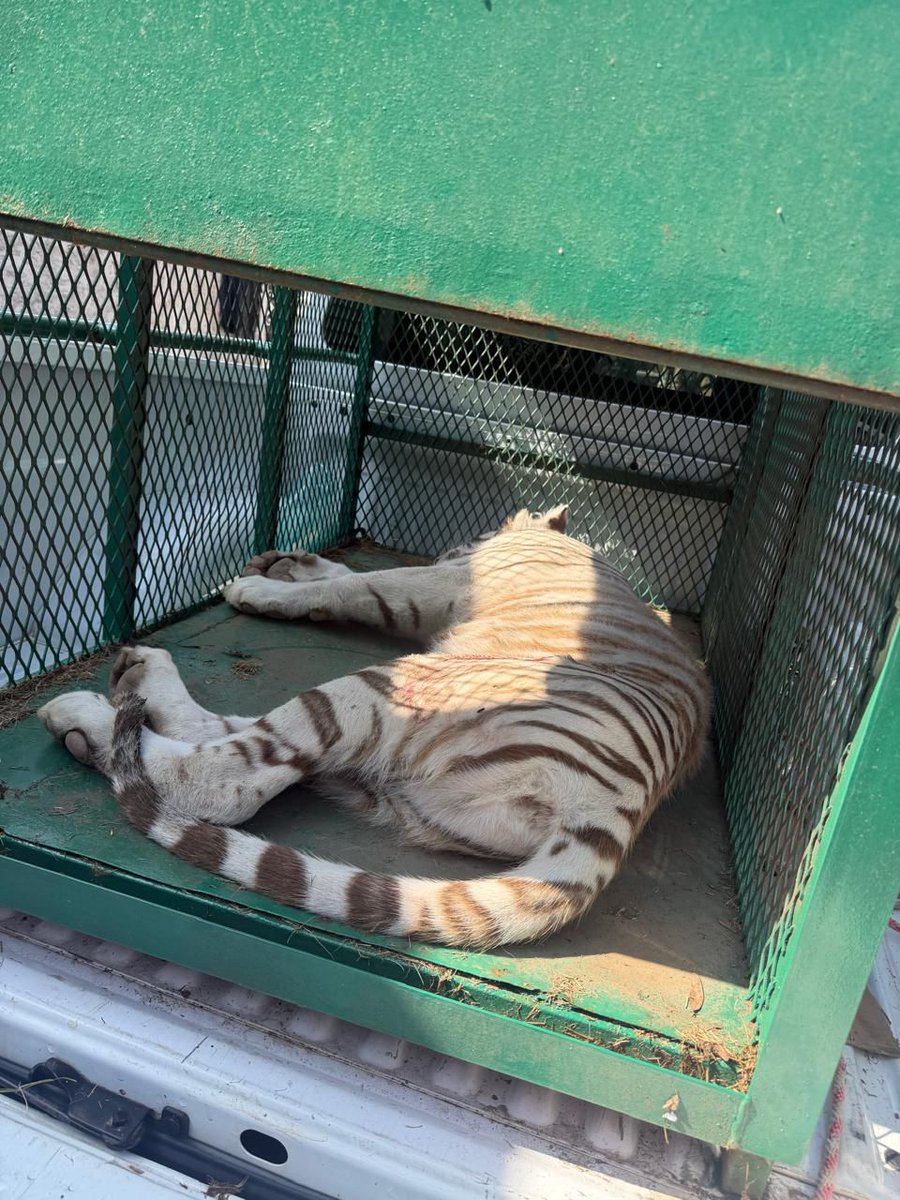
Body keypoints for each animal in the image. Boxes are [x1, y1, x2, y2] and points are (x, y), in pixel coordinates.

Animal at [38, 505, 710, 949]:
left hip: (387, 689)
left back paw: (87, 715)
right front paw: (289, 563)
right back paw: (137, 678)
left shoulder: (432, 584)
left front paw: (256, 586)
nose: (452, 547)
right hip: (394, 776)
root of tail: (618, 806)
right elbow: (343, 576)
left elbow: (363, 583)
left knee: (221, 784)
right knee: (245, 745)